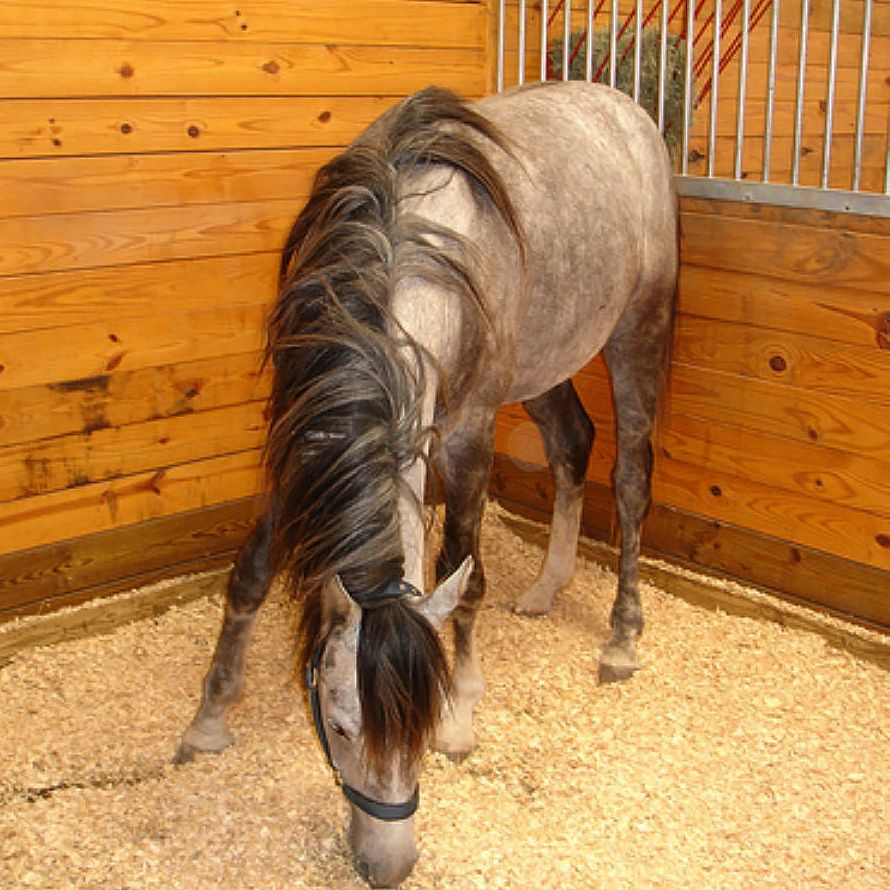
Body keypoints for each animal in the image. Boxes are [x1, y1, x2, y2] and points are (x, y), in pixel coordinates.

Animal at [172, 80, 672, 884]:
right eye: (341, 725)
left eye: (426, 722)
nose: (389, 865)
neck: (406, 257)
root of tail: (624, 108)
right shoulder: (308, 443)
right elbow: (248, 576)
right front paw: (209, 721)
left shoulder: (467, 437)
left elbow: (463, 578)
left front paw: (465, 714)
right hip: (543, 364)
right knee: (572, 446)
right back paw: (547, 585)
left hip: (636, 332)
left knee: (629, 480)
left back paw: (622, 637)